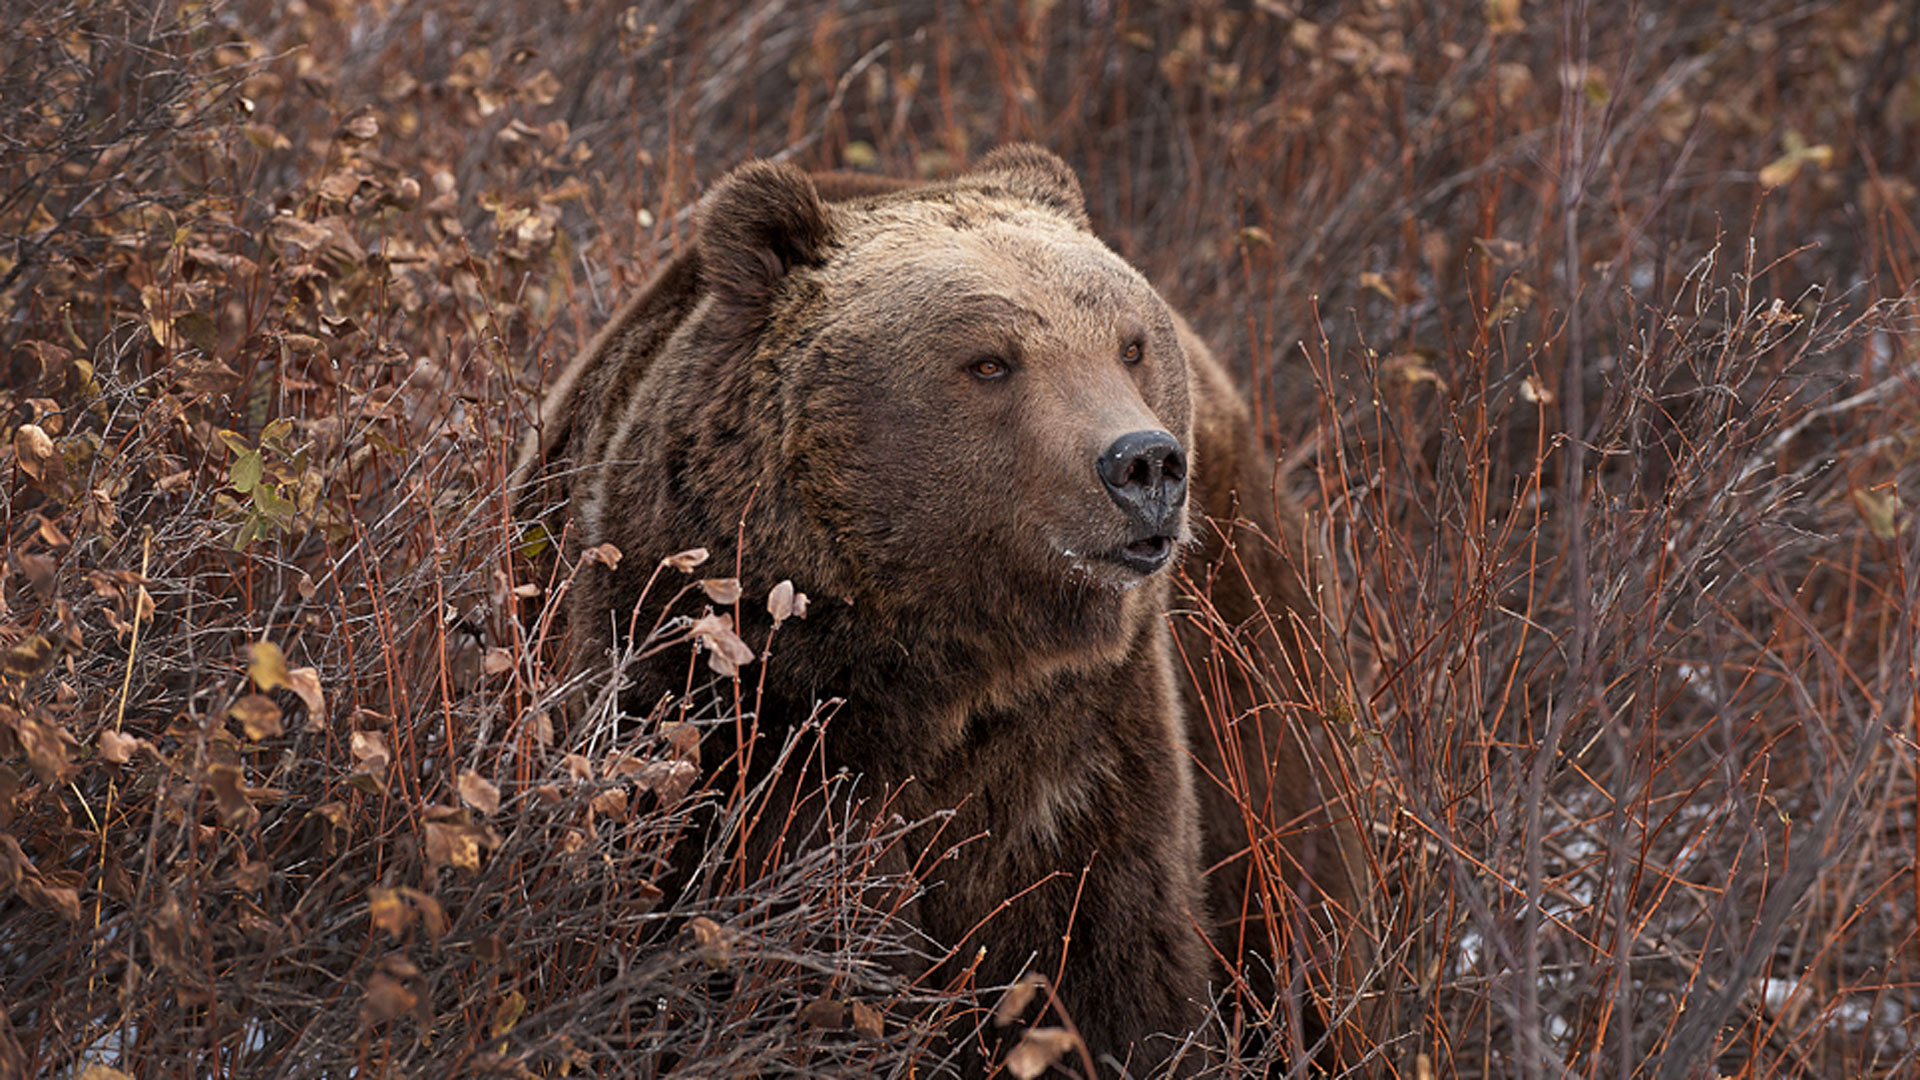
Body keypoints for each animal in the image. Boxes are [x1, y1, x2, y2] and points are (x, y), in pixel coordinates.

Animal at [518, 147, 1374, 1068]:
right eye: (989, 361)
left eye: (1130, 344)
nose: (1144, 463)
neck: (937, 664)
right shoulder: (706, 693)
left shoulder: (1082, 748)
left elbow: (1110, 963)